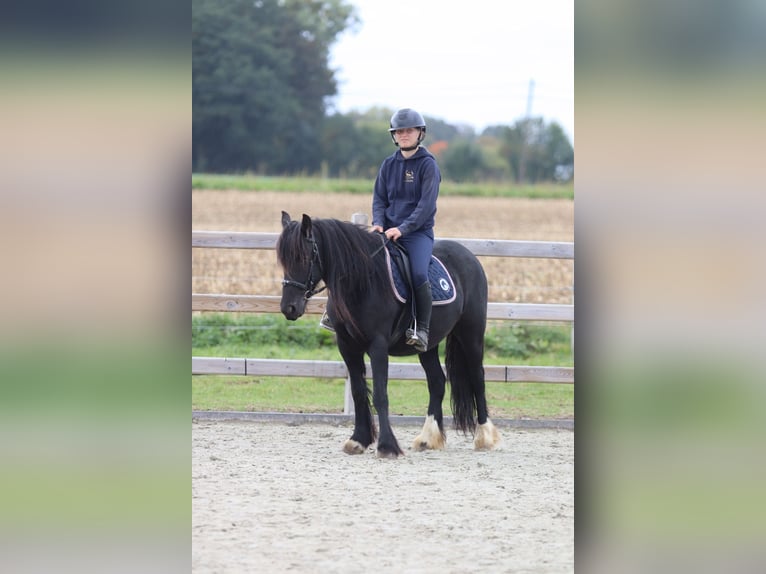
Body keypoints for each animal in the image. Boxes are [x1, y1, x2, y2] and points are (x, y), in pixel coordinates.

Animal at [276, 211, 500, 458]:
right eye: (283, 260)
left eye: (303, 257)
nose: (289, 308)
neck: (362, 281)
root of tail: (469, 256)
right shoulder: (347, 346)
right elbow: (358, 392)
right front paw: (358, 440)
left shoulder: (378, 345)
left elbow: (380, 395)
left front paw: (387, 446)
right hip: (428, 345)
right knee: (437, 382)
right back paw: (428, 438)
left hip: (471, 334)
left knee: (478, 378)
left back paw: (485, 437)